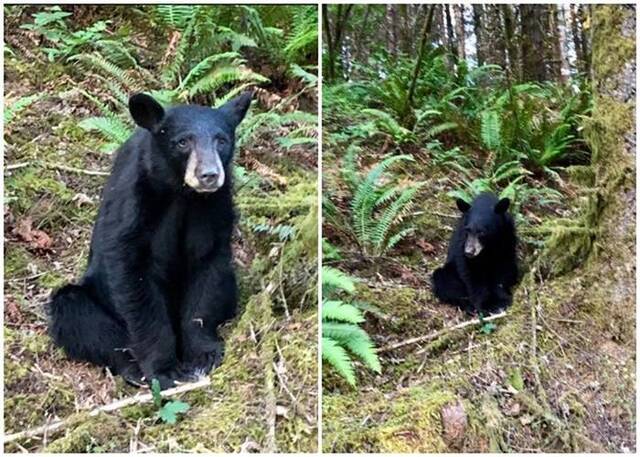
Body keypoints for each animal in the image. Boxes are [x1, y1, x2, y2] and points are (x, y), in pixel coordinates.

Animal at [47, 92, 251, 388]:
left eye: (221, 140)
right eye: (182, 141)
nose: (209, 175)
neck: (181, 193)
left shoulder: (214, 207)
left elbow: (208, 268)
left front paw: (203, 354)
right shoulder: (134, 203)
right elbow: (134, 278)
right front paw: (163, 368)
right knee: (75, 313)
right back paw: (132, 367)